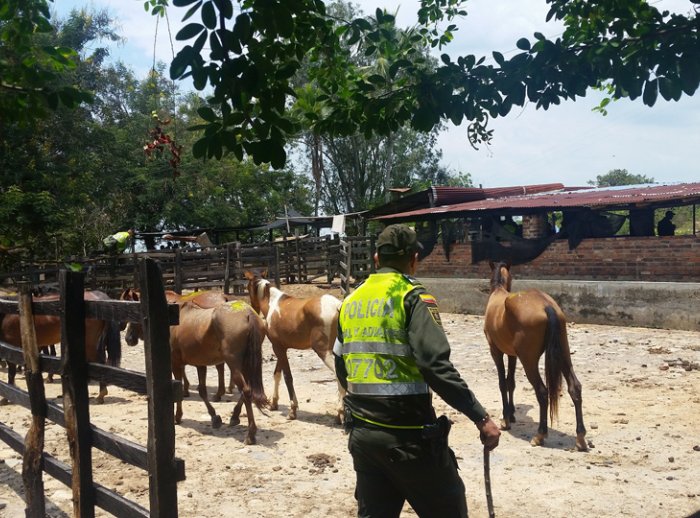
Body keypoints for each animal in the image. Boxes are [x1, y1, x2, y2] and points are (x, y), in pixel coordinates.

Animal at [122, 286, 268, 444]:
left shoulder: (175, 363)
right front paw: (214, 417)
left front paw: (177, 416)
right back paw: (235, 416)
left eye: (134, 312)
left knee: (246, 391)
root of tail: (248, 314)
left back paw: (250, 433)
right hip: (246, 364)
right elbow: (202, 391)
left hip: (234, 365)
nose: (128, 338)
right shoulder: (200, 365)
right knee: (247, 390)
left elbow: (180, 389)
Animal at [246, 270, 344, 424]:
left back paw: (340, 413)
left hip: (324, 352)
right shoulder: (280, 348)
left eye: (247, 287)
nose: (253, 309)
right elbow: (277, 374)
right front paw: (274, 403)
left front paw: (292, 411)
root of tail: (337, 305)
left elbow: (287, 377)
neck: (273, 304)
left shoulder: (278, 348)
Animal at [484, 262, 588, 452]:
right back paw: (580, 438)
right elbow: (511, 383)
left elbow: (503, 383)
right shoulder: (512, 354)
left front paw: (506, 419)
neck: (499, 292)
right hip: (563, 355)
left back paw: (540, 435)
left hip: (529, 361)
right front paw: (511, 414)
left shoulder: (496, 351)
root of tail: (546, 306)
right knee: (575, 387)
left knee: (542, 392)